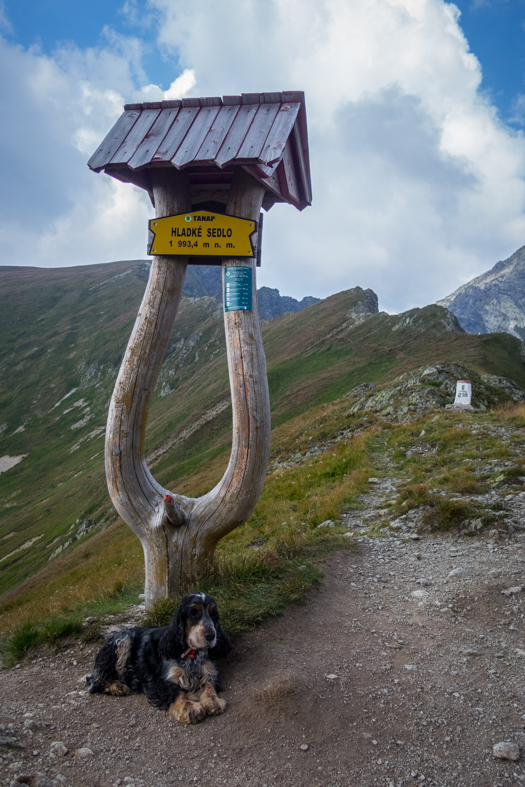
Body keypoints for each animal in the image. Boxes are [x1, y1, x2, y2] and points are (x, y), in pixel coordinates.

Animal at [86, 596, 229, 724]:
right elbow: (177, 692)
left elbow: (209, 685)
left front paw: (213, 701)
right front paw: (189, 708)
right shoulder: (159, 682)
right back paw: (117, 687)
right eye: (194, 613)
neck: (191, 653)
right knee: (94, 682)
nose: (211, 635)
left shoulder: (209, 673)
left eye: (213, 614)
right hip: (123, 641)